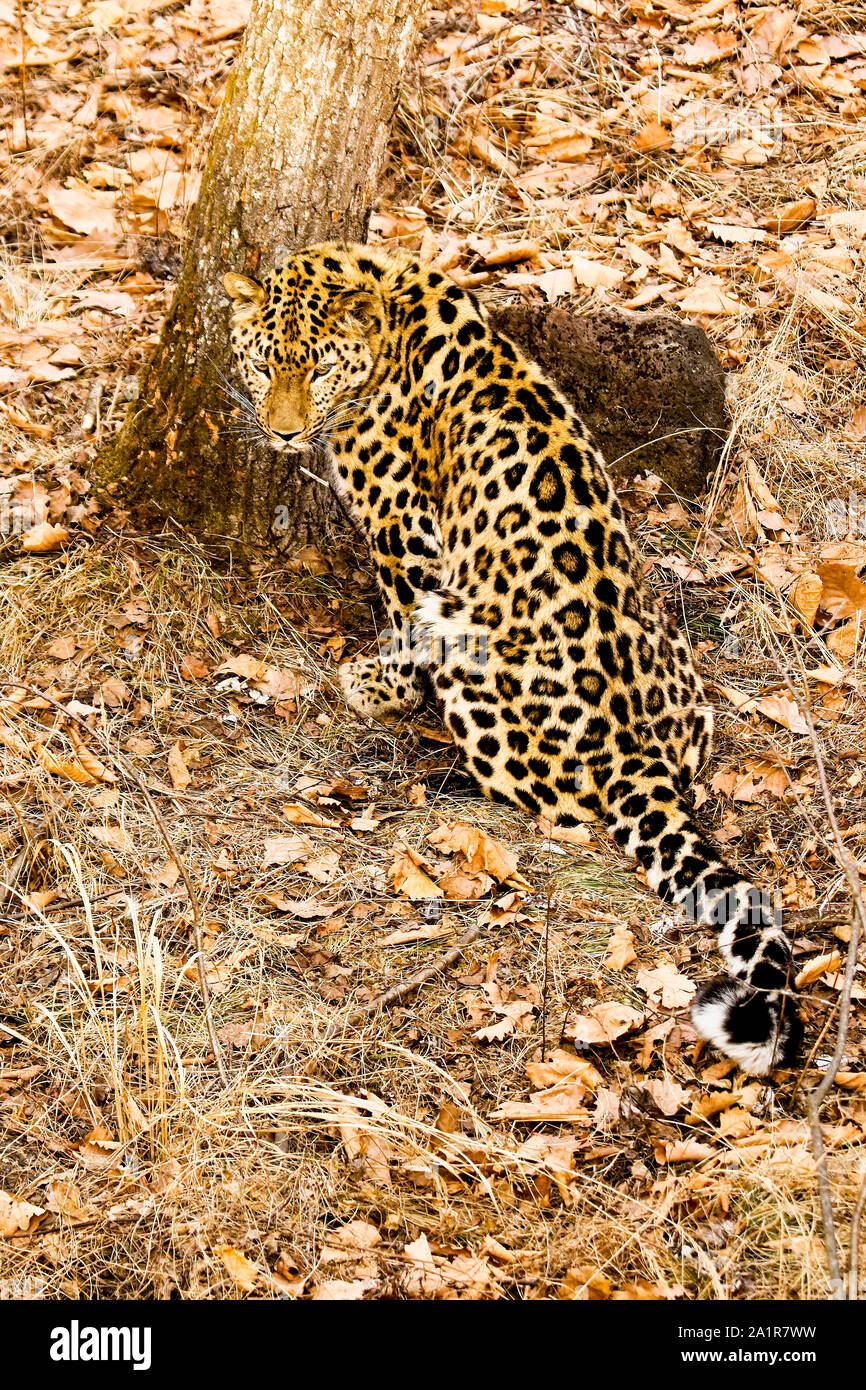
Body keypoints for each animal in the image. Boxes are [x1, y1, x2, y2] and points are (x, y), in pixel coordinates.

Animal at [224, 241, 802, 1075]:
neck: (382, 292)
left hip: (471, 644)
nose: (285, 436)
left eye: (319, 370)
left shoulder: (409, 536)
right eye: (266, 364)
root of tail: (637, 754)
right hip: (682, 679)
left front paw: (374, 685)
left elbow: (402, 626)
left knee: (550, 796)